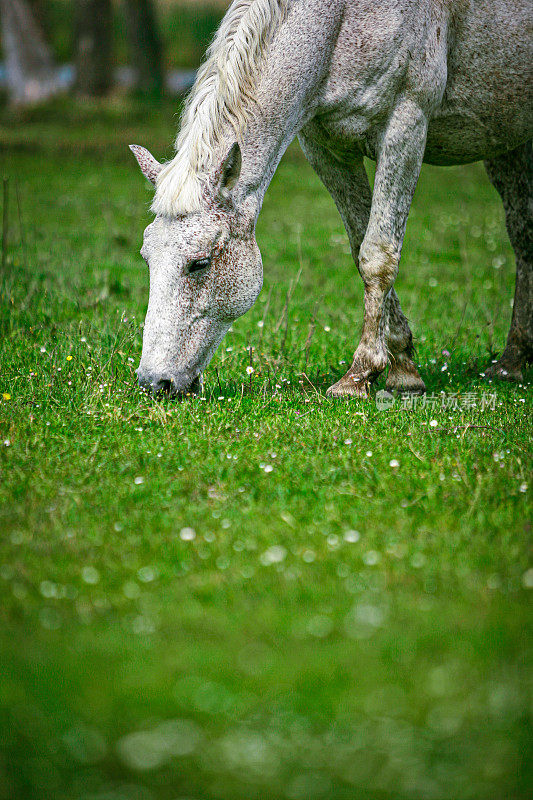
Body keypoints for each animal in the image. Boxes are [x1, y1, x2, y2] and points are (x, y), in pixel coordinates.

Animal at [130, 0, 532, 396]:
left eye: (199, 263)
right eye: (147, 256)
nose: (153, 382)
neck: (341, 22)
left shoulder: (406, 126)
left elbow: (378, 255)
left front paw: (360, 375)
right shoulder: (325, 147)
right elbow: (359, 246)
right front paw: (403, 367)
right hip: (508, 143)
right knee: (523, 236)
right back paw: (512, 362)